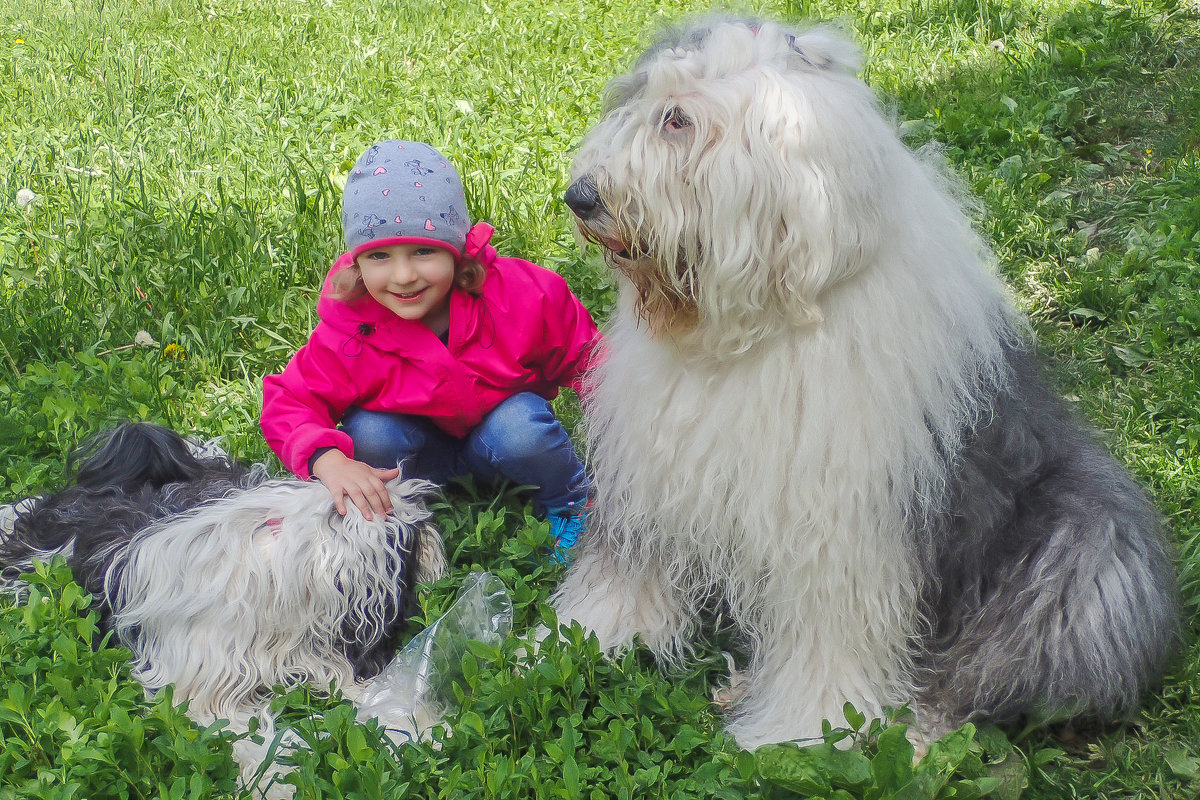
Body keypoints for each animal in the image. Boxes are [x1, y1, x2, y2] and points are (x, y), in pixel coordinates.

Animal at [0, 422, 448, 786]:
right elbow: (251, 739)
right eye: (410, 539)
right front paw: (276, 784)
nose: (432, 534)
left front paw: (418, 728)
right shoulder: (199, 689)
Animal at [554, 17, 1180, 753]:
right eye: (635, 103)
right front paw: (571, 641)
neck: (750, 331)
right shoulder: (650, 475)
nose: (580, 197)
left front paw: (806, 732)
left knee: (982, 677)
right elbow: (626, 575)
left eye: (677, 120)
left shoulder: (839, 530)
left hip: (1089, 552)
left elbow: (832, 637)